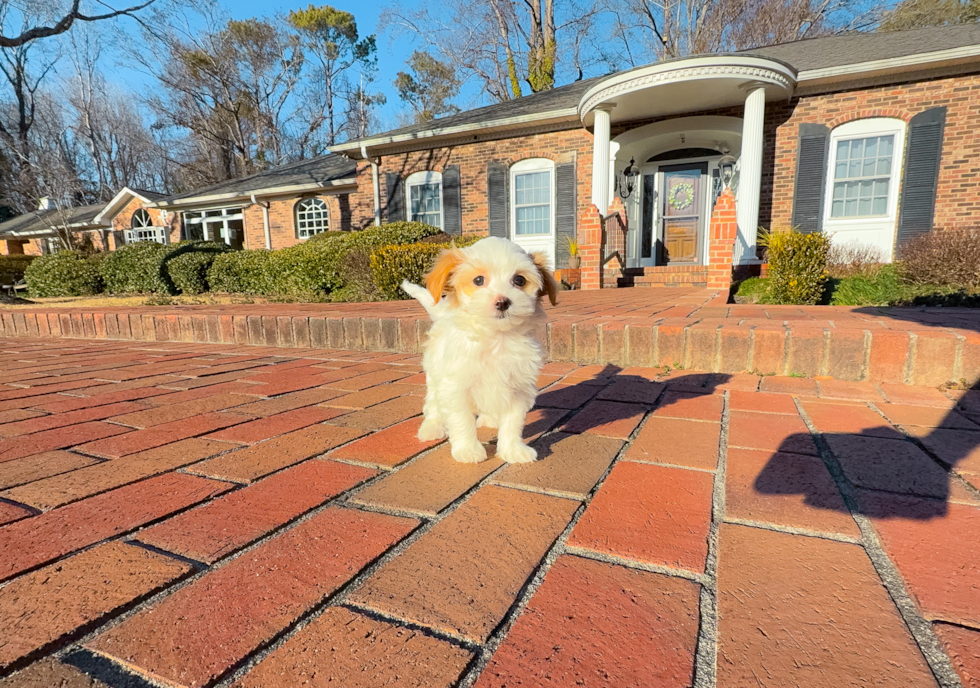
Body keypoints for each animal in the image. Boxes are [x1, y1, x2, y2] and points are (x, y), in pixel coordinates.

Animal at [402, 234, 560, 464]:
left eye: (519, 280)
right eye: (478, 280)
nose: (502, 302)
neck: (496, 338)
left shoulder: (519, 388)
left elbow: (513, 423)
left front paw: (513, 450)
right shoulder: (455, 387)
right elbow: (462, 420)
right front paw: (468, 450)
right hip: (434, 377)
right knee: (433, 405)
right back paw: (432, 428)